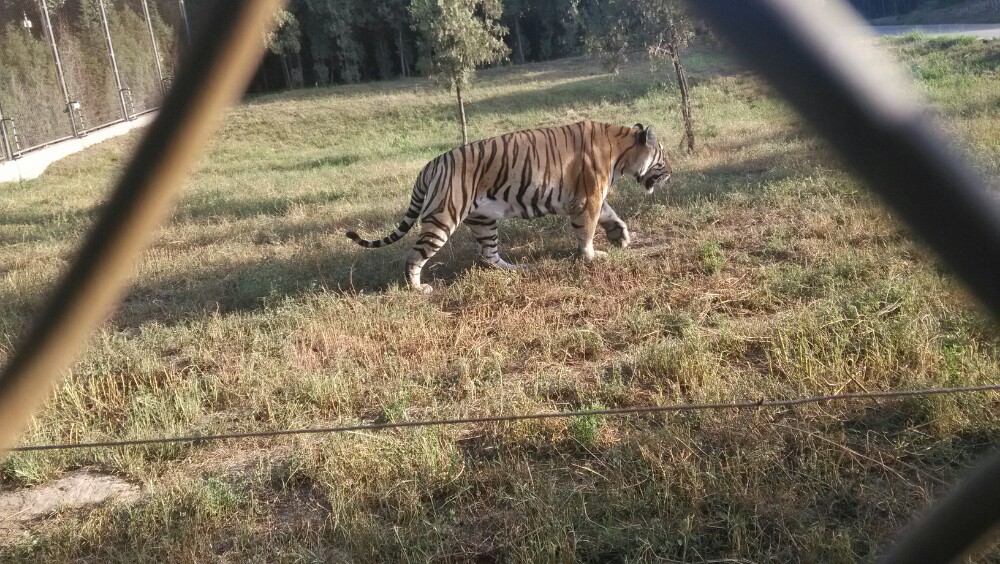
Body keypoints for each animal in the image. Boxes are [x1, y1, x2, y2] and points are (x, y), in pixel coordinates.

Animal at [346, 120, 672, 294]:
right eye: (662, 154)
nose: (670, 170)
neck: (622, 150)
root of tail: (428, 166)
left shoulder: (594, 198)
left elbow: (610, 215)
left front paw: (621, 237)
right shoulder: (587, 198)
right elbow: (588, 231)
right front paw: (592, 257)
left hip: (483, 221)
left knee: (489, 255)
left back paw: (517, 269)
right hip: (442, 218)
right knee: (415, 255)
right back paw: (418, 288)